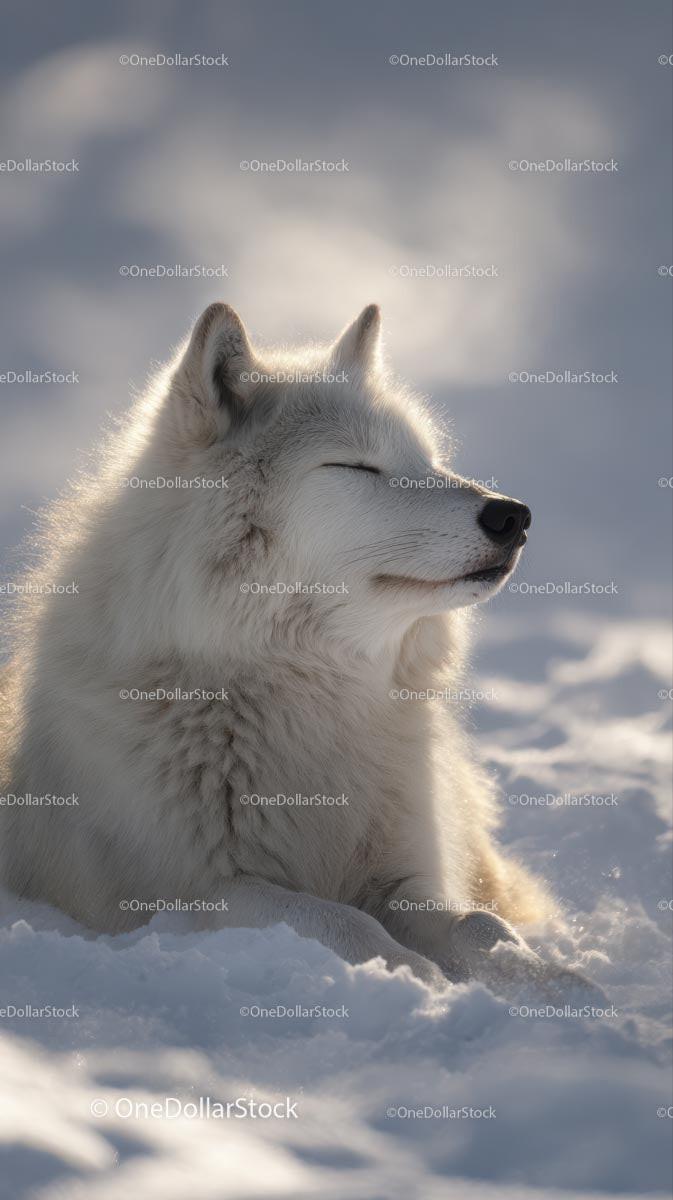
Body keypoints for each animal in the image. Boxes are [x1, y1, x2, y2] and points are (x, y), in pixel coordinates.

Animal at [0, 302, 560, 990]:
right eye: (355, 467)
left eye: (429, 463)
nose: (515, 517)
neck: (307, 695)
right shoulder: (187, 895)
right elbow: (338, 920)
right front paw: (417, 980)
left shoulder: (410, 877)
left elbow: (480, 926)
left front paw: (561, 989)